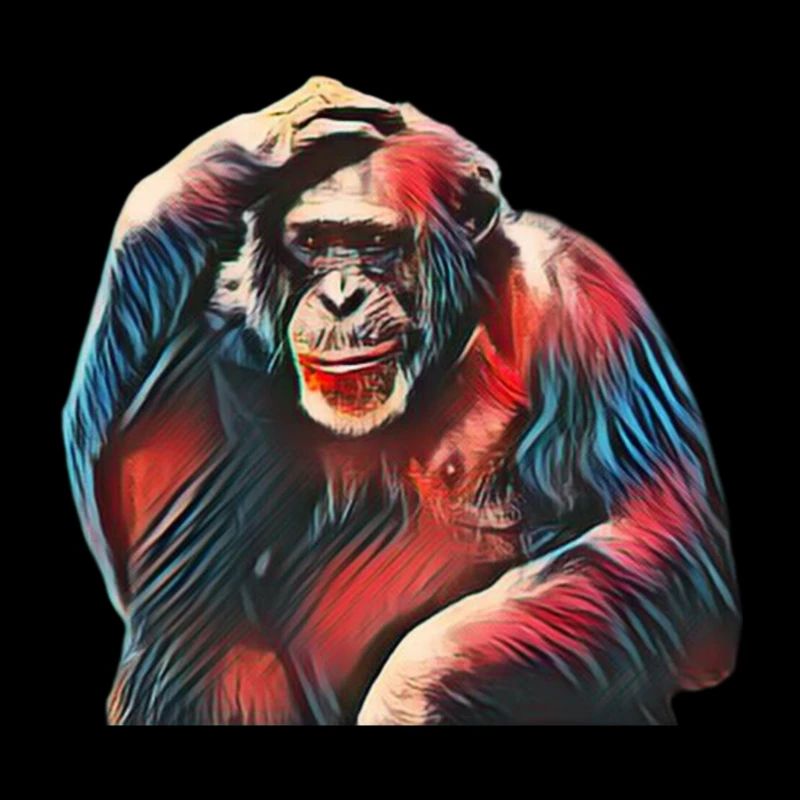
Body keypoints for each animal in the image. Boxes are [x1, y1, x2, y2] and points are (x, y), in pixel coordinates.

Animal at [63, 77, 740, 724]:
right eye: (314, 242)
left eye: (373, 242)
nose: (339, 297)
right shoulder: (220, 333)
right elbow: (124, 534)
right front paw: (249, 146)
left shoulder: (584, 299)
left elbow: (655, 543)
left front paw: (407, 694)